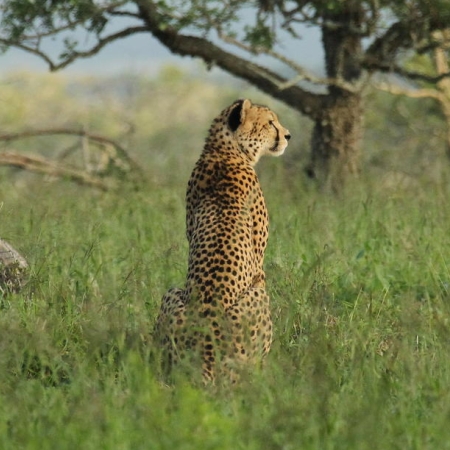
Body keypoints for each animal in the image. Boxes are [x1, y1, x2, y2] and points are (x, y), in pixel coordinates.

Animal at [156, 98, 292, 384]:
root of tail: (206, 350)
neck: (224, 151)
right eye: (270, 122)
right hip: (257, 297)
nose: (288, 136)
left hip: (172, 298)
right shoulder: (258, 263)